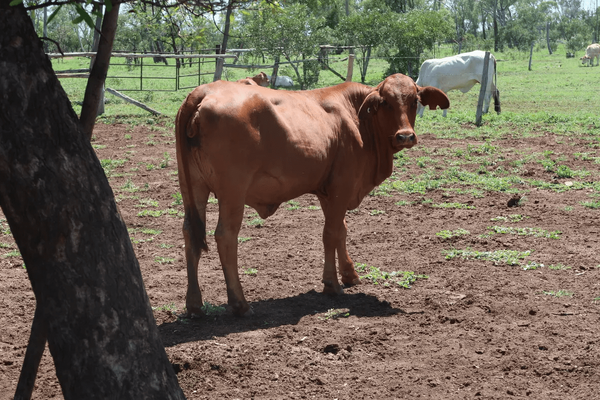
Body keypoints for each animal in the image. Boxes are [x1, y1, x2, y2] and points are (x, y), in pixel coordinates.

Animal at [176, 72, 448, 316]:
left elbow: (341, 230)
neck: (357, 117)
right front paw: (332, 284)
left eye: (414, 101)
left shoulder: (328, 190)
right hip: (233, 191)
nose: (405, 136)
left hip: (193, 188)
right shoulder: (341, 186)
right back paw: (239, 303)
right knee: (226, 236)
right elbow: (330, 234)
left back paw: (194, 304)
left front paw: (349, 274)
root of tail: (203, 92)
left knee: (190, 233)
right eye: (385, 102)